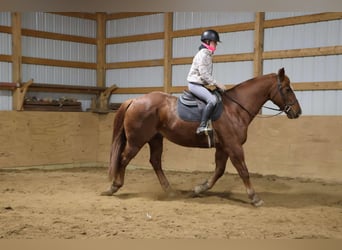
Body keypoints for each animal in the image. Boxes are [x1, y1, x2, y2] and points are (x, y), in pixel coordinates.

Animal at [101, 67, 302, 206]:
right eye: (287, 89)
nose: (298, 112)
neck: (234, 109)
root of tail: (135, 100)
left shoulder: (223, 147)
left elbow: (219, 171)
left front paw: (199, 189)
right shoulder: (234, 146)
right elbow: (243, 171)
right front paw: (254, 198)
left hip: (155, 139)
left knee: (155, 162)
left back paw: (169, 190)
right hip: (137, 141)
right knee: (124, 158)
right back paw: (114, 187)